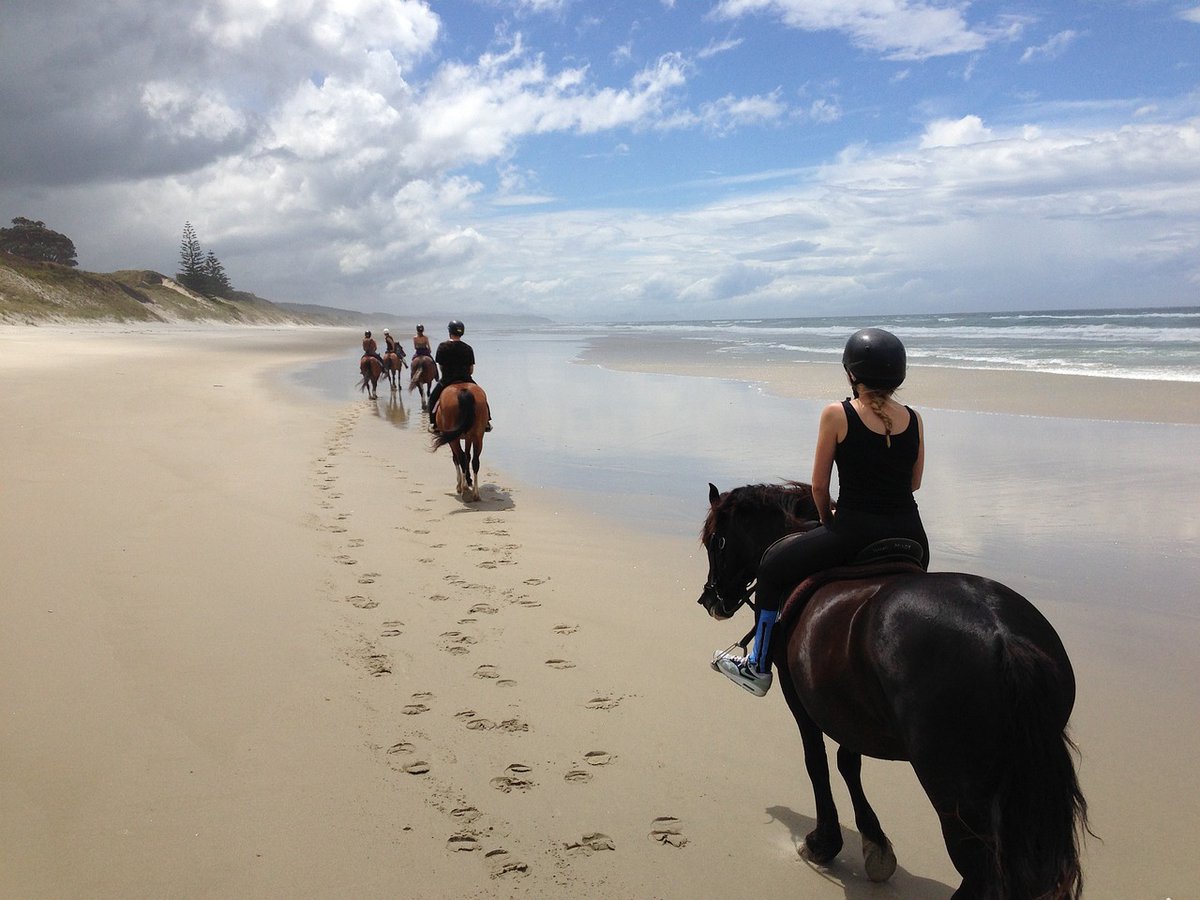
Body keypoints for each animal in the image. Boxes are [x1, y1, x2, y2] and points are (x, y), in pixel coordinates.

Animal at [700, 482, 1094, 900]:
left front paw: (824, 843)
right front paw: (875, 845)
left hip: (955, 790)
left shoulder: (802, 699)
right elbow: (847, 762)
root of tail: (1006, 640)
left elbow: (816, 761)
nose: (709, 599)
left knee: (978, 871)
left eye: (715, 541)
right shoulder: (845, 704)